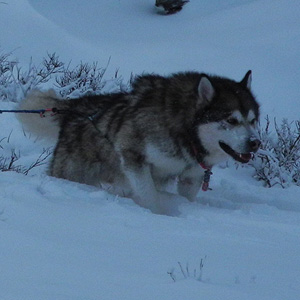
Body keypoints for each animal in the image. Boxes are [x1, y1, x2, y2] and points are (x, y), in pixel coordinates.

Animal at [17, 71, 260, 214]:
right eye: (231, 120)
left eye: (253, 120)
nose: (255, 143)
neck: (183, 131)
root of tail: (76, 107)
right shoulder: (134, 159)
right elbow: (149, 195)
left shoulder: (191, 176)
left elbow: (186, 196)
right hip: (74, 172)